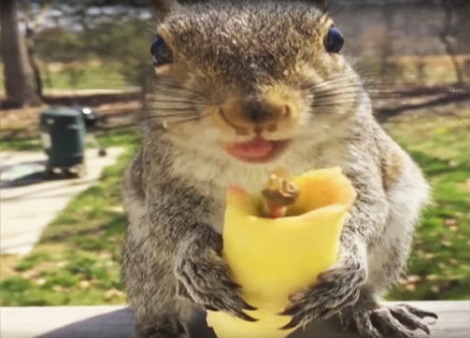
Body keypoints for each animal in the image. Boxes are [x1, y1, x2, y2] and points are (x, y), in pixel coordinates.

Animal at [121, 0, 436, 338]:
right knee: (157, 300)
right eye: (158, 50)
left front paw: (349, 257)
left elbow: (369, 206)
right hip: (148, 265)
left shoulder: (357, 159)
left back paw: (369, 309)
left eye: (335, 39)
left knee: (365, 289)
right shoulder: (164, 175)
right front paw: (195, 258)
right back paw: (160, 325)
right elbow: (168, 220)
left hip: (392, 246)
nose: (257, 110)